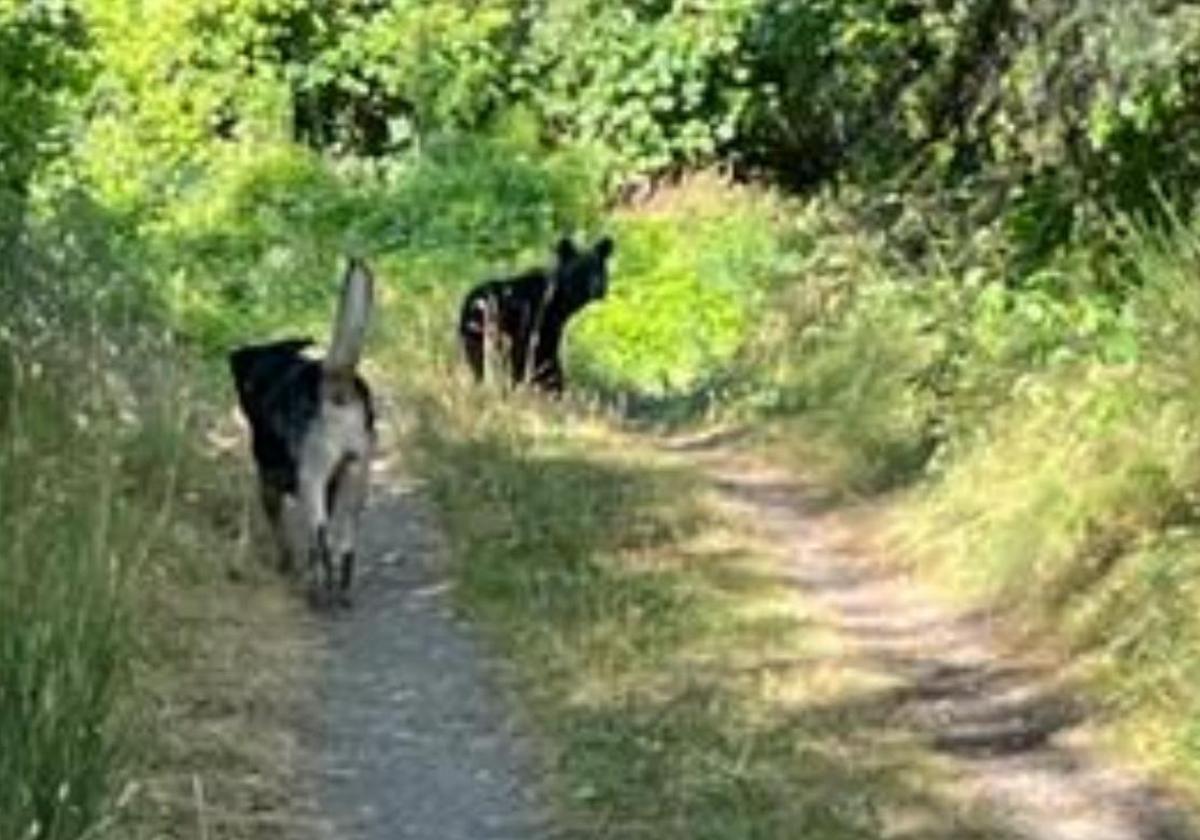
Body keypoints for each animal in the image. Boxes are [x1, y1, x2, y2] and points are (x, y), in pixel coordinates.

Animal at [226, 259, 372, 607]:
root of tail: (336, 381)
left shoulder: (268, 483)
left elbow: (281, 533)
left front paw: (285, 563)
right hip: (356, 479)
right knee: (344, 549)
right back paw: (340, 593)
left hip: (313, 482)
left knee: (321, 545)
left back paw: (315, 591)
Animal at [453, 236, 614, 393]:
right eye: (580, 270)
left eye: (598, 270)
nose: (597, 288)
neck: (560, 300)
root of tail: (470, 302)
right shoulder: (538, 323)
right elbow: (541, 356)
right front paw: (550, 386)